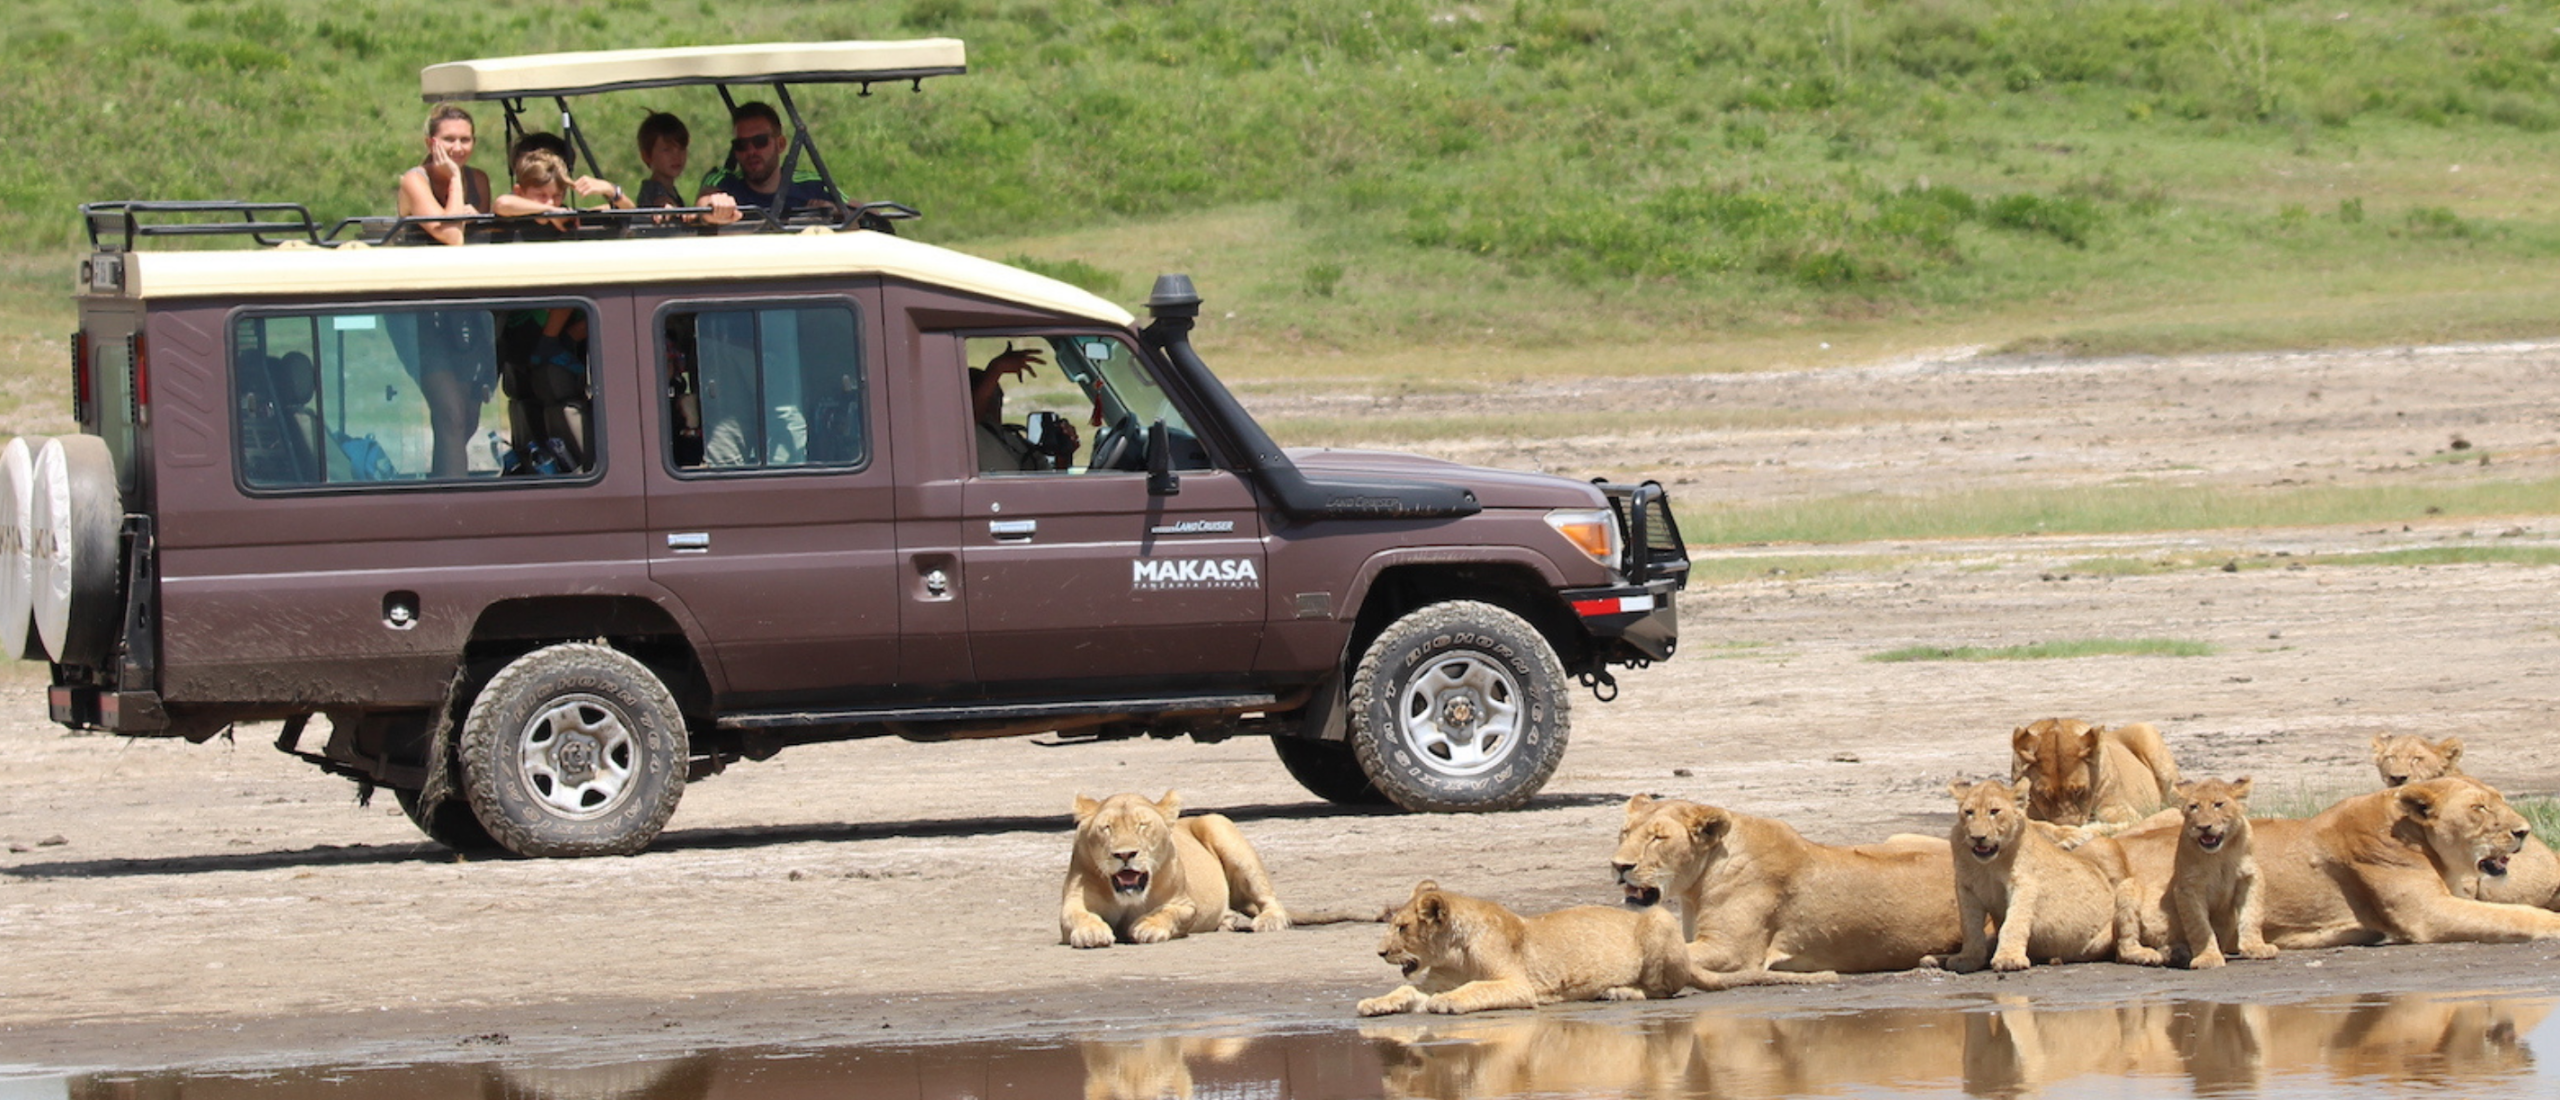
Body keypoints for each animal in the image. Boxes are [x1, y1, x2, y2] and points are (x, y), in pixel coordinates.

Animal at [1054, 793, 1290, 946]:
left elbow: (1168, 912)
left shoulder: (1185, 904)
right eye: (1107, 828)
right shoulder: (1072, 904)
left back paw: (1270, 920)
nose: (1125, 854)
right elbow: (1078, 916)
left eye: (1142, 825)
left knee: (1269, 898)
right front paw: (1091, 931)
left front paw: (1148, 927)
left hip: (1221, 828)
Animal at [1361, 880, 1699, 1018]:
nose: (1379, 952)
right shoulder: (1435, 981)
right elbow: (1405, 990)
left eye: (1402, 927)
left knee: (1663, 990)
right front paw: (1374, 1003)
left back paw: (1621, 991)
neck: (1453, 955)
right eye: (1393, 924)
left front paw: (1447, 1001)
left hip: (1660, 918)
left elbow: (1475, 987)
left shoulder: (1518, 985)